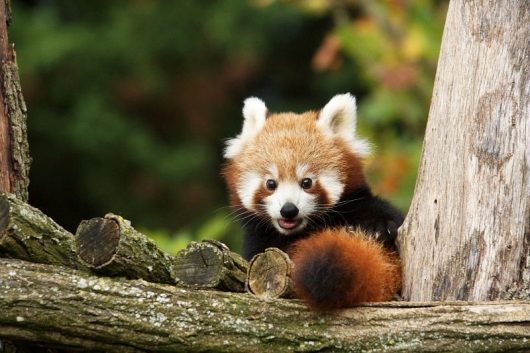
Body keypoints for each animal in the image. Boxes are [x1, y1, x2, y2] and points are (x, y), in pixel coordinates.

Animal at [222, 93, 400, 308]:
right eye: (271, 183)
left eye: (307, 182)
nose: (288, 210)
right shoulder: (257, 239)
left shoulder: (357, 201)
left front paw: (379, 226)